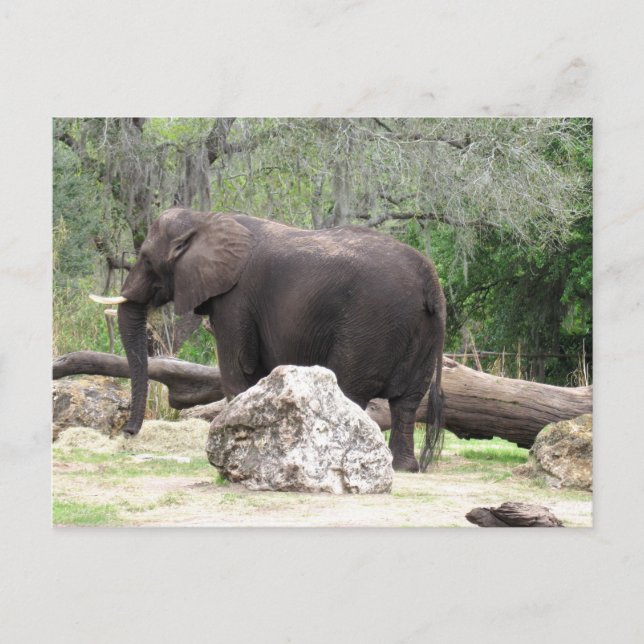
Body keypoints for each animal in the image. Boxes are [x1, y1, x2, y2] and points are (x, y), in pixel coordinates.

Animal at [106, 207, 446, 472]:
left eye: (146, 260)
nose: (128, 433)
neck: (205, 219)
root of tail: (429, 279)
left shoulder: (235, 299)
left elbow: (236, 369)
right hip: (423, 329)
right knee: (407, 403)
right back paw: (403, 467)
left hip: (370, 321)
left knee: (351, 390)